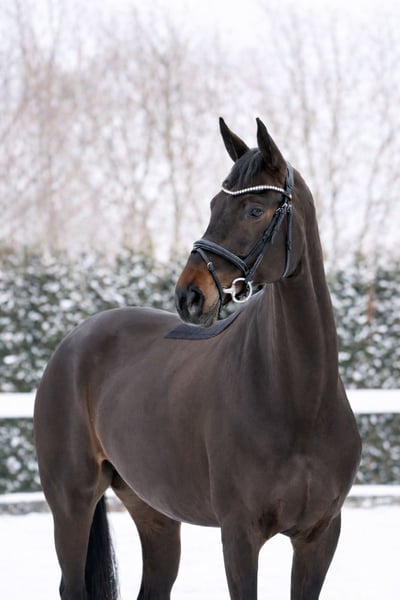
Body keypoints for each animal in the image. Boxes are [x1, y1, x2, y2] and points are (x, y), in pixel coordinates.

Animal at [34, 118, 361, 600]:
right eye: (213, 204)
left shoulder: (319, 537)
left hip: (154, 511)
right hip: (71, 501)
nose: (189, 295)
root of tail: (72, 342)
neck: (299, 398)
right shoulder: (239, 535)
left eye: (255, 210)